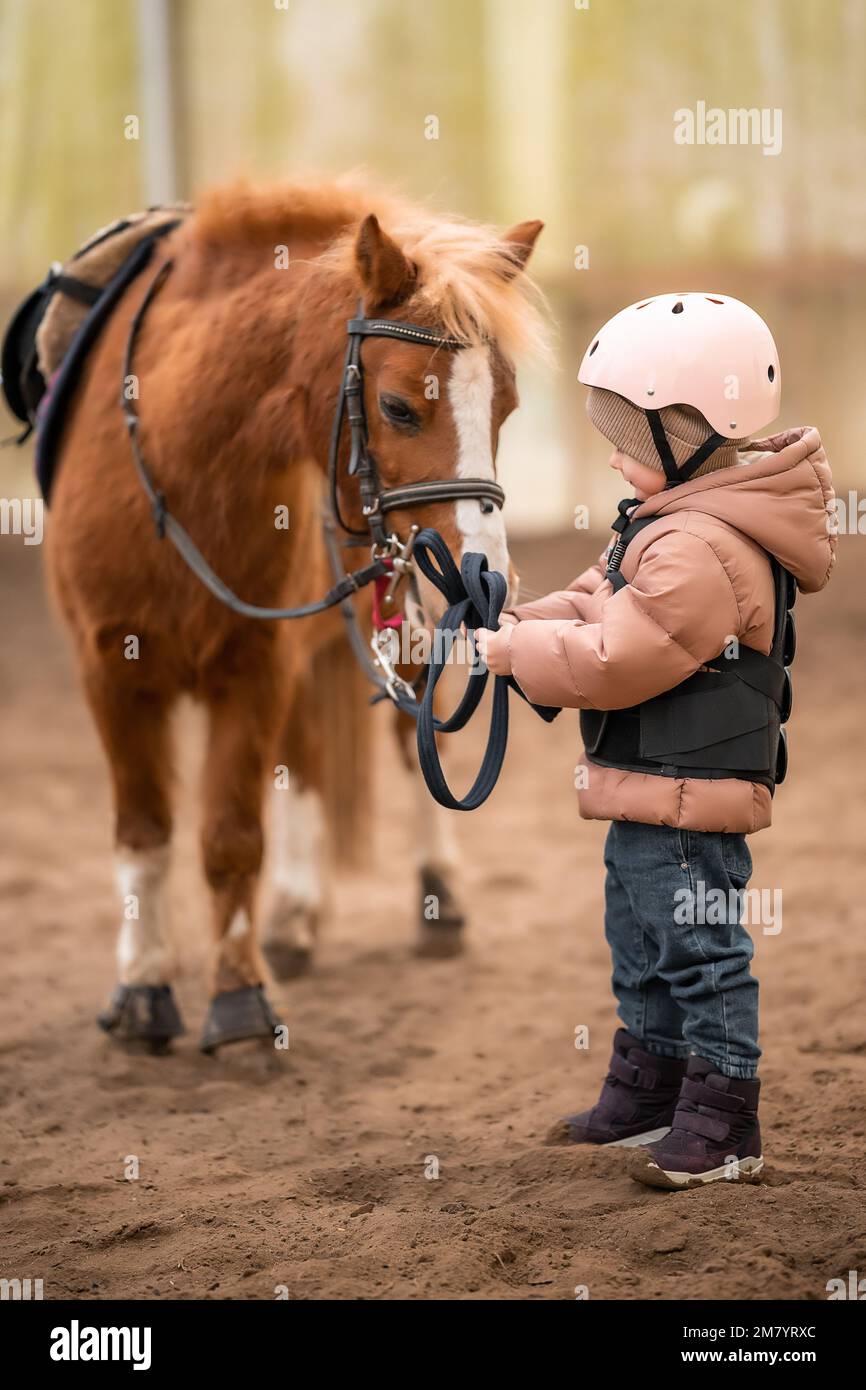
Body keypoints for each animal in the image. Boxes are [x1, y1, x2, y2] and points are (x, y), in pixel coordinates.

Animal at [44, 173, 544, 1045]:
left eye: (506, 407)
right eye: (399, 407)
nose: (487, 578)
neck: (176, 469)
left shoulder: (256, 663)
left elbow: (231, 836)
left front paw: (240, 992)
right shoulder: (109, 669)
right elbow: (145, 832)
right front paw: (143, 988)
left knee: (412, 742)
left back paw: (438, 897)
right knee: (307, 757)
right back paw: (297, 916)